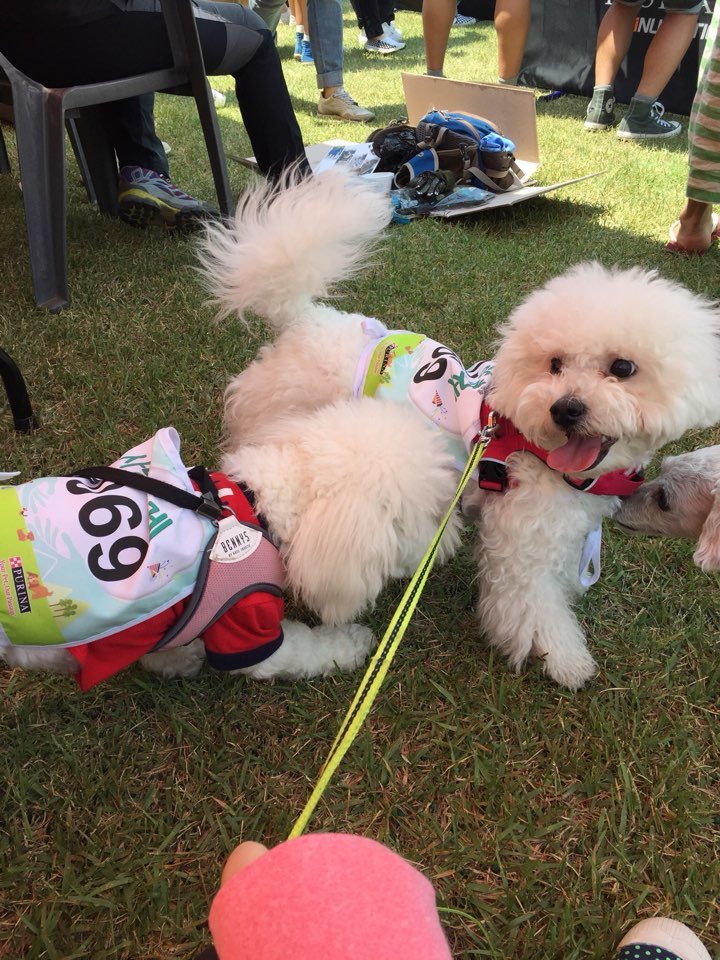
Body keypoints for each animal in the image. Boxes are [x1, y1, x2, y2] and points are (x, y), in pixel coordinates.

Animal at [198, 169, 720, 688]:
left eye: (623, 367)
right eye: (554, 364)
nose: (565, 409)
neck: (550, 461)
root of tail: (303, 317)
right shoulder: (519, 550)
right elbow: (534, 610)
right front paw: (568, 662)